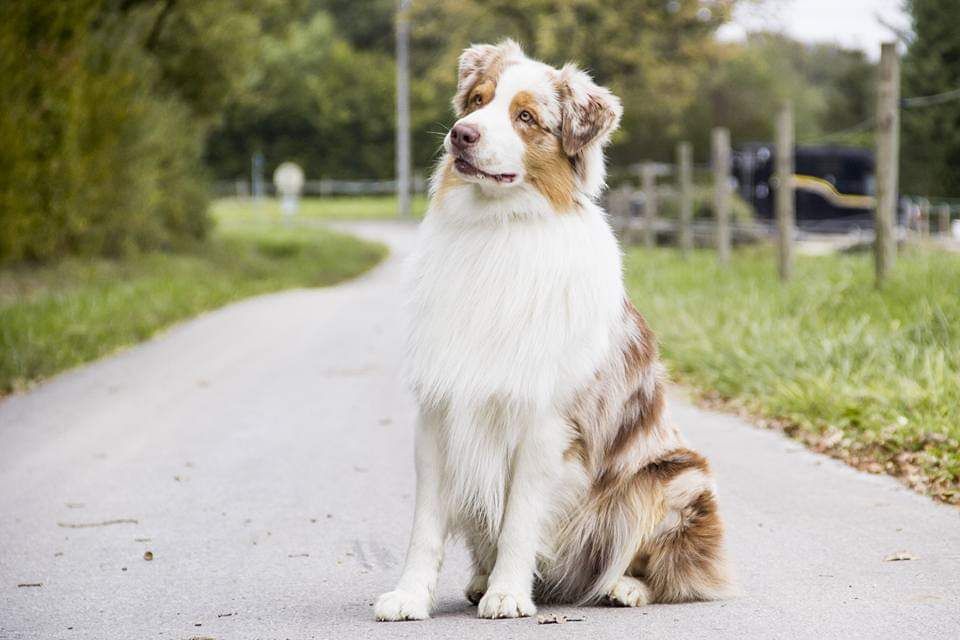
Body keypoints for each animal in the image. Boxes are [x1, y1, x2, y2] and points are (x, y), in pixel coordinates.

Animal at [374, 40, 728, 620]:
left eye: (526, 118)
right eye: (477, 100)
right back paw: (479, 580)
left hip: (669, 478)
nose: (461, 134)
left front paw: (508, 594)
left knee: (675, 570)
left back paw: (624, 587)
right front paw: (410, 596)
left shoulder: (546, 421)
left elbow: (520, 519)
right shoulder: (437, 414)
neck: (496, 231)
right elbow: (424, 526)